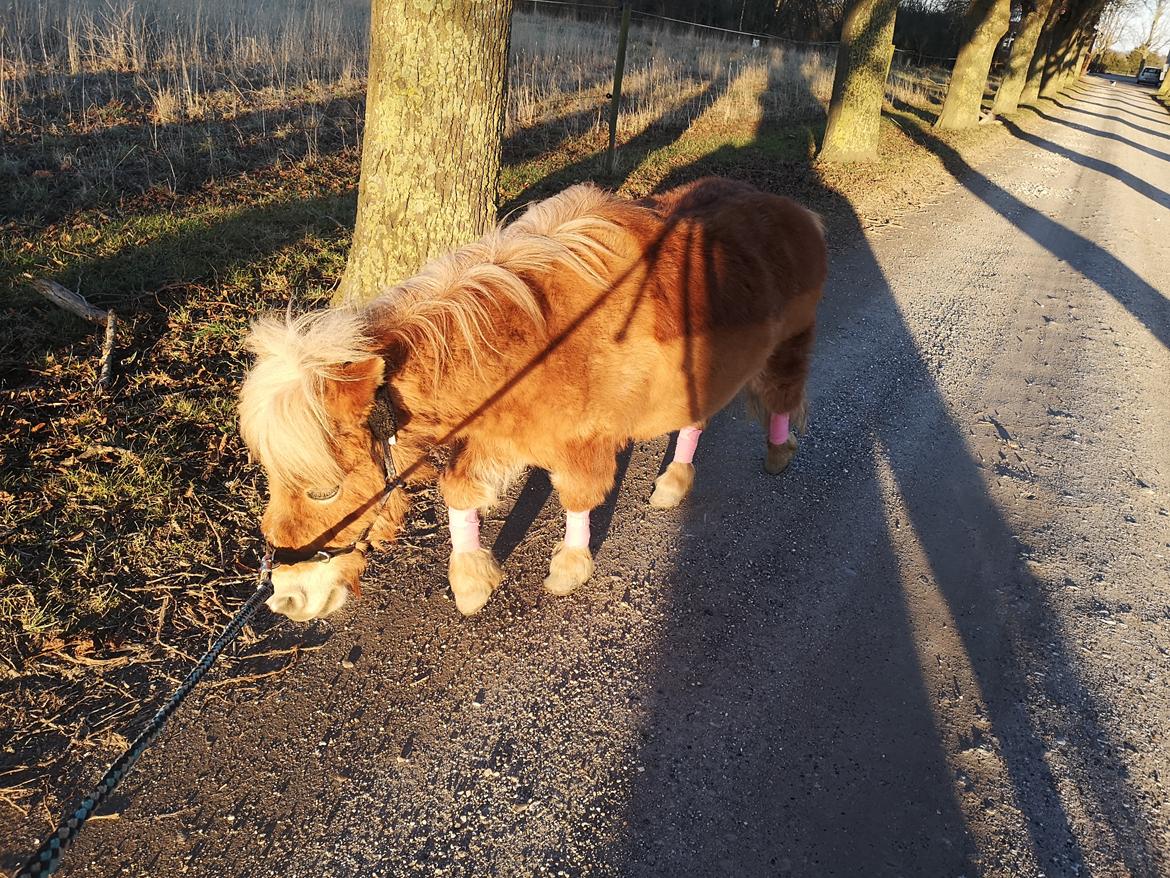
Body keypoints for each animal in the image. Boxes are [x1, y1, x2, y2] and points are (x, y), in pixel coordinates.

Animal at [239, 176, 823, 618]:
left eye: (324, 491)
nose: (288, 598)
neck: (530, 341)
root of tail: (797, 211)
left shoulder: (578, 444)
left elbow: (577, 499)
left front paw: (569, 568)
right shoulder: (495, 433)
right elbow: (461, 494)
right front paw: (471, 583)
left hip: (789, 346)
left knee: (781, 396)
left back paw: (776, 453)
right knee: (696, 421)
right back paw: (674, 482)